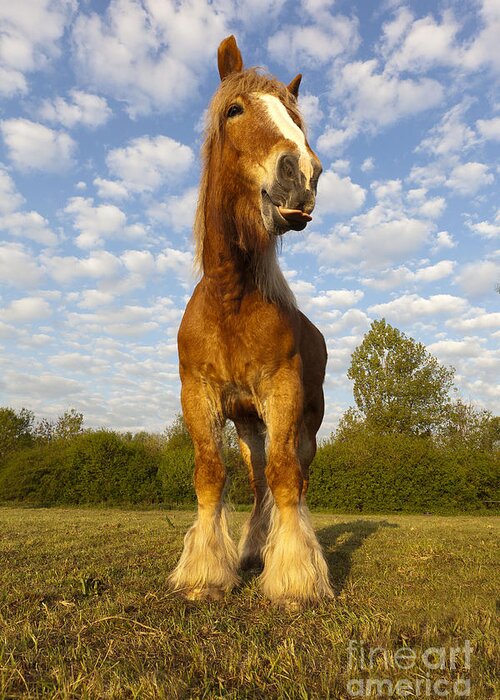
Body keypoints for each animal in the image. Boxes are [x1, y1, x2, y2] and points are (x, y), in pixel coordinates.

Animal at [170, 35, 334, 608]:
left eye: (294, 116)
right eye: (235, 110)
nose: (302, 173)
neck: (231, 297)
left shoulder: (282, 392)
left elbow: (287, 478)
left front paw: (295, 581)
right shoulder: (200, 395)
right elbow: (211, 474)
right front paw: (204, 575)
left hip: (306, 419)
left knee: (294, 476)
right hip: (247, 424)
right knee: (259, 478)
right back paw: (251, 549)